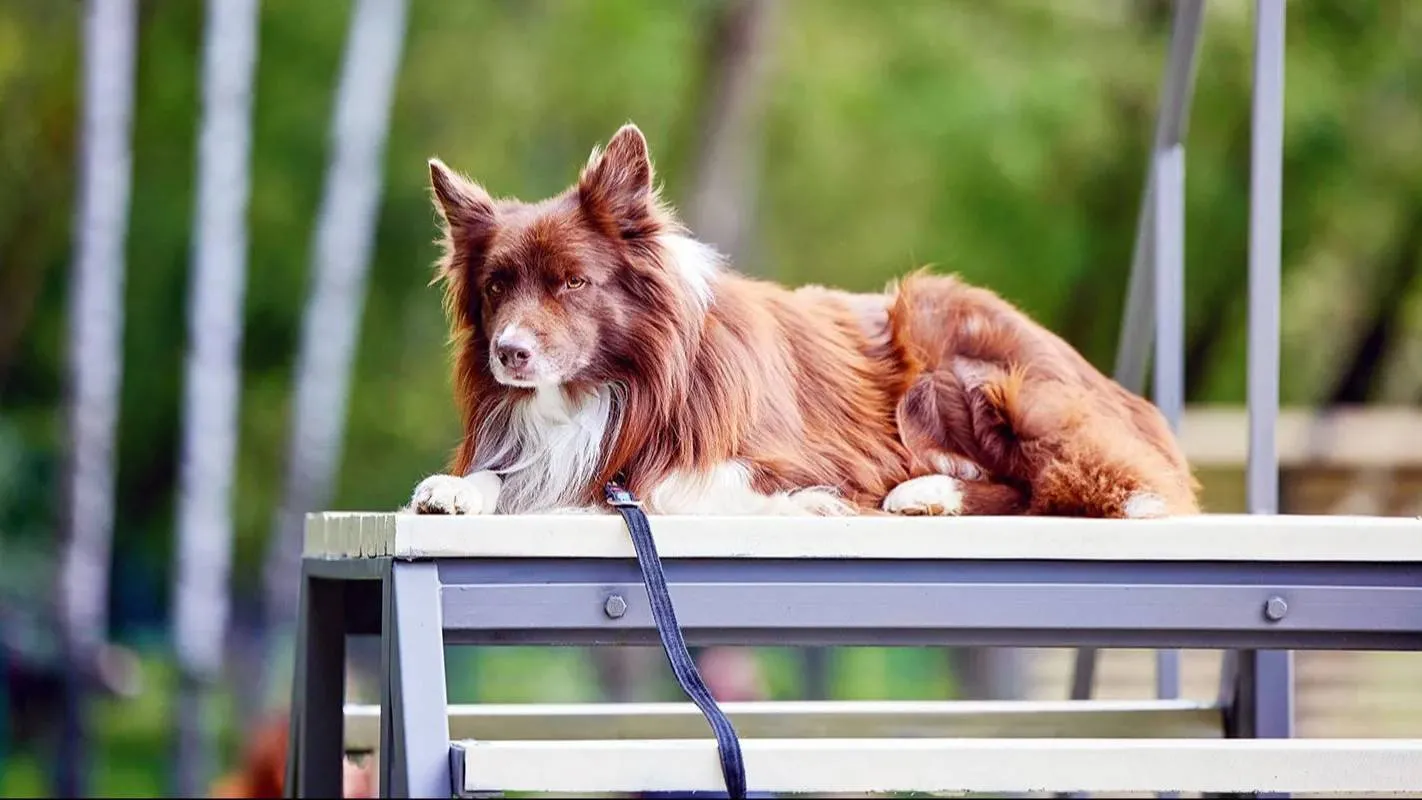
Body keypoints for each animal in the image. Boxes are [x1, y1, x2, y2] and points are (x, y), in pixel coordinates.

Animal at [412, 123, 1200, 520]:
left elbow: (670, 486)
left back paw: (930, 490)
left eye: (574, 282)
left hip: (947, 336)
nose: (509, 354)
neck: (621, 381)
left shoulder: (804, 461)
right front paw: (459, 489)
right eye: (497, 286)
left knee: (1075, 484)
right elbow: (513, 474)